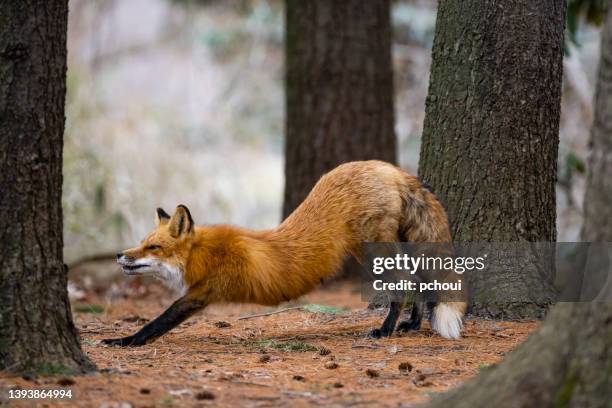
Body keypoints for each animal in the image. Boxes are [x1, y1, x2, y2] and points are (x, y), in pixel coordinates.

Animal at [104, 161, 468, 346]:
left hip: (373, 251)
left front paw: (124, 341)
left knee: (404, 284)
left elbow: (158, 322)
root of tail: (388, 168)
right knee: (419, 280)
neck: (204, 254)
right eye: (141, 242)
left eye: (153, 247)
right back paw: (413, 324)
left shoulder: (202, 293)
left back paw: (386, 330)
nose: (120, 255)